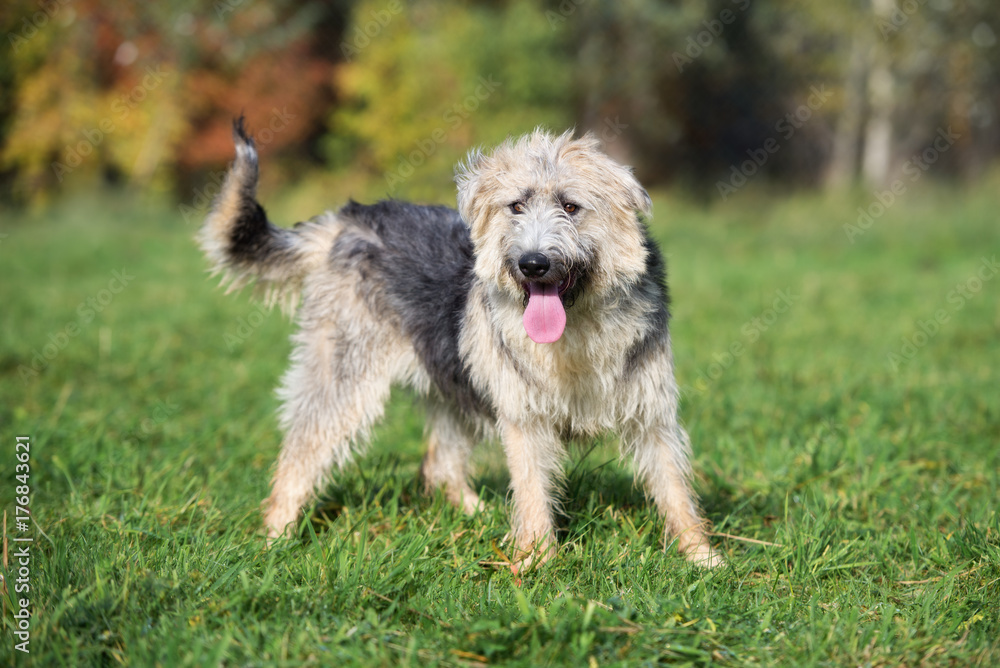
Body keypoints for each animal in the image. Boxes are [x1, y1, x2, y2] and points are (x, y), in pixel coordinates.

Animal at [201, 118, 720, 568]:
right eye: (515, 206)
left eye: (571, 207)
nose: (532, 263)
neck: (578, 330)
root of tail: (348, 217)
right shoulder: (524, 418)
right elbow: (532, 491)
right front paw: (535, 562)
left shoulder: (652, 411)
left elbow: (675, 489)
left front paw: (701, 557)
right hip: (343, 378)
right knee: (300, 454)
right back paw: (276, 536)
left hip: (452, 381)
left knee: (440, 463)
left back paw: (474, 512)